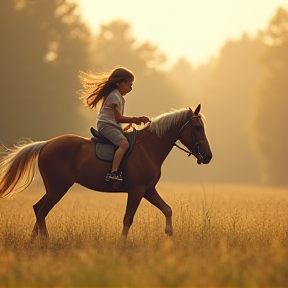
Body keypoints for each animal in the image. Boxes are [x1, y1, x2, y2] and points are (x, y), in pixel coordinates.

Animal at [0, 103, 212, 241]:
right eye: (197, 127)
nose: (208, 156)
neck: (147, 149)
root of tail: (46, 145)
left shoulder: (148, 190)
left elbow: (167, 209)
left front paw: (169, 235)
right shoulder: (137, 190)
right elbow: (127, 219)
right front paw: (122, 245)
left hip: (53, 189)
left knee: (38, 209)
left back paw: (33, 242)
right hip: (58, 189)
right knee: (42, 211)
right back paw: (45, 241)